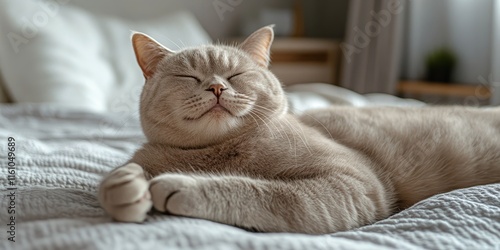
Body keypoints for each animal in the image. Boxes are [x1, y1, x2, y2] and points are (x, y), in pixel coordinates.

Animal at [97, 25, 500, 234]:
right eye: (189, 77)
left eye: (235, 74)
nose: (216, 87)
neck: (218, 154)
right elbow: (116, 177)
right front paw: (125, 186)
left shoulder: (354, 182)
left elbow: (266, 193)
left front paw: (179, 185)